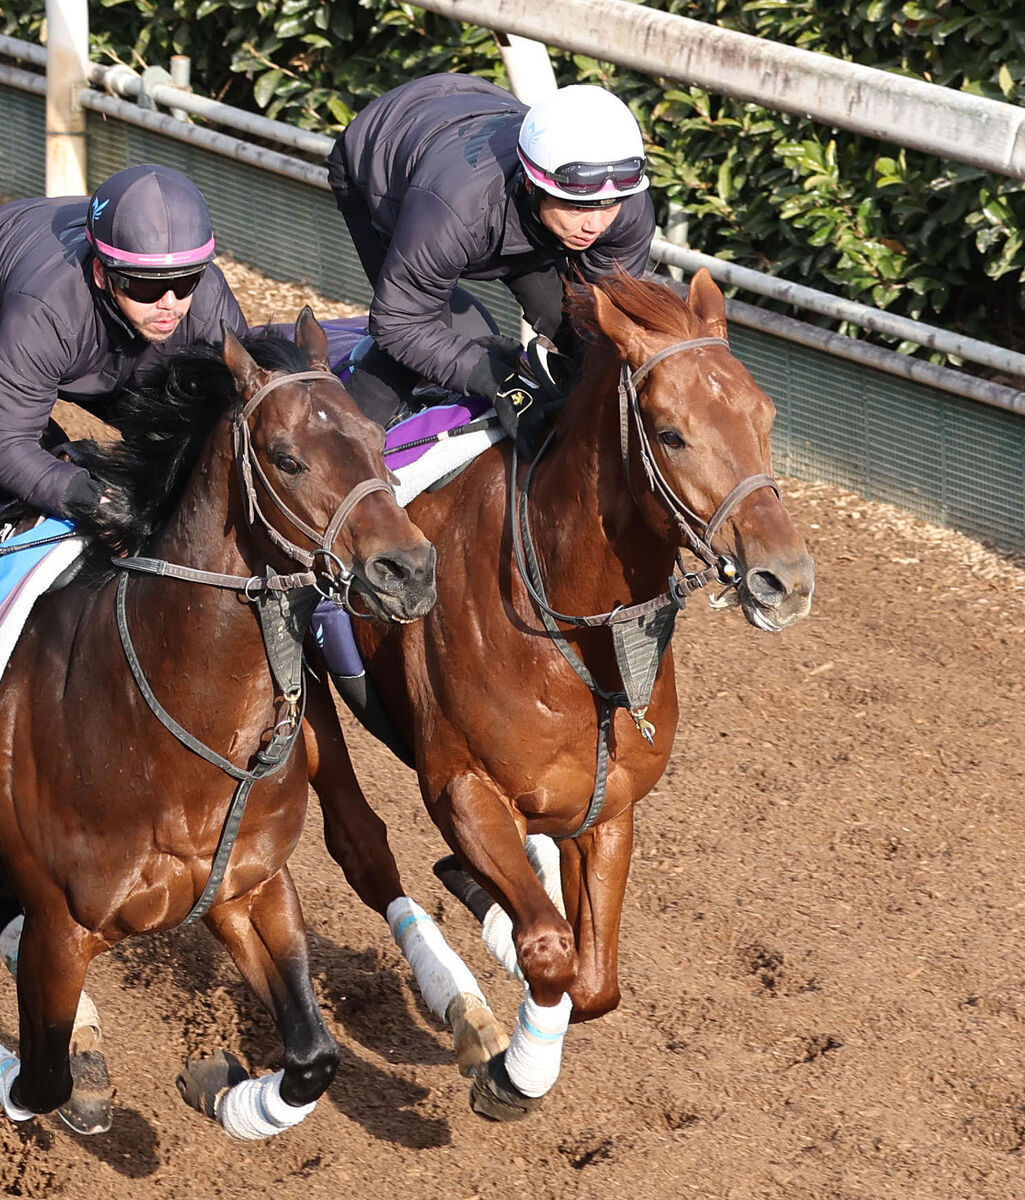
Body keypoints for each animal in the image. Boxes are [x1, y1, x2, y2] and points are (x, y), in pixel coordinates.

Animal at [0, 309, 436, 1132]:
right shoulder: (59, 929)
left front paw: (224, 1088)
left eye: (374, 435)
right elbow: (41, 1083)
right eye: (286, 458)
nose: (411, 571)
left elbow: (313, 1056)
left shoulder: (247, 890)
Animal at [307, 267, 820, 1118]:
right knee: (358, 844)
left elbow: (595, 979)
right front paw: (514, 1072)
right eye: (671, 433)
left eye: (765, 416)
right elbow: (550, 950)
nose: (786, 579)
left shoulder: (604, 808)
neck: (563, 626)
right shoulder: (462, 789)